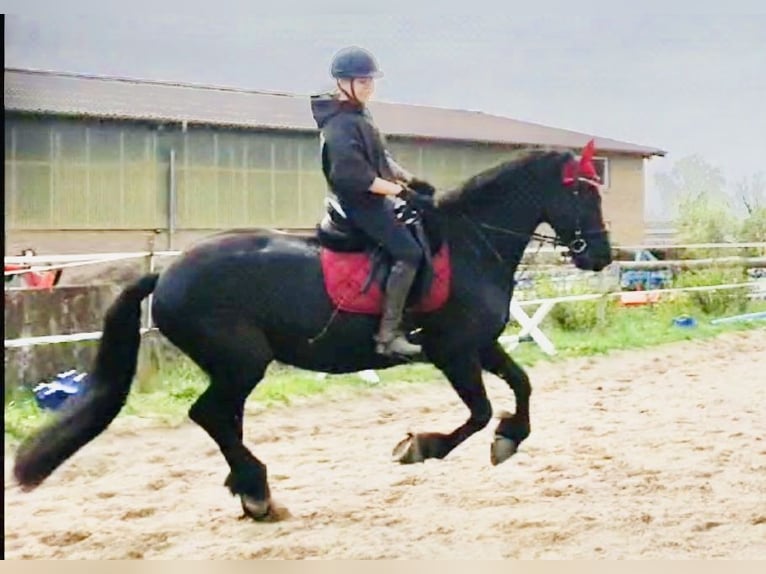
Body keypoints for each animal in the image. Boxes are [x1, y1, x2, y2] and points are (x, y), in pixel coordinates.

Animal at [13, 142, 613, 521]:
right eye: (584, 193)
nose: (603, 256)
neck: (468, 244)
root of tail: (169, 272)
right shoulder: (454, 352)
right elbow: (481, 411)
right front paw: (421, 447)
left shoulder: (480, 346)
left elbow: (523, 386)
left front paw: (510, 439)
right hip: (241, 363)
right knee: (209, 415)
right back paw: (256, 492)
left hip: (235, 369)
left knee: (223, 419)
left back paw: (249, 489)